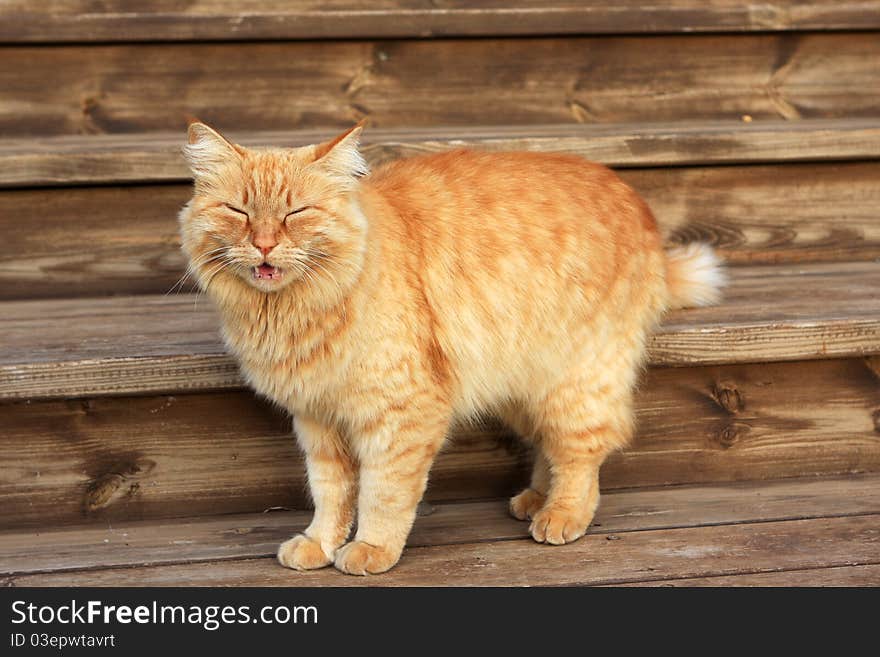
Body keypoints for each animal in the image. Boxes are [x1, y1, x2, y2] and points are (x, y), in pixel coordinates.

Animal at [177, 121, 720, 576]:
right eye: (239, 211)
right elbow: (331, 494)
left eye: (296, 213)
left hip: (574, 383)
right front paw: (320, 544)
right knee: (549, 447)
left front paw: (371, 548)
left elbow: (382, 493)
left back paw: (561, 515)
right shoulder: (318, 420)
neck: (294, 313)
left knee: (583, 455)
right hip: (520, 390)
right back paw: (535, 498)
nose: (265, 245)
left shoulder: (400, 414)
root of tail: (640, 208)